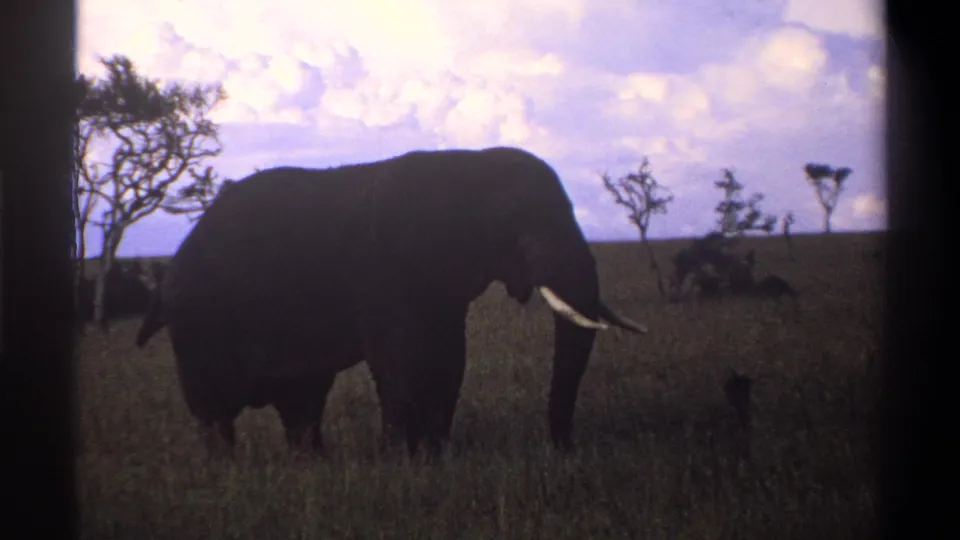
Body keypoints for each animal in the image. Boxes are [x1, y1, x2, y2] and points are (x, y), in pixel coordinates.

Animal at [156, 146, 647, 458]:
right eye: (519, 224)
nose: (564, 449)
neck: (471, 165)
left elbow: (449, 359)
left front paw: (437, 455)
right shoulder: (383, 271)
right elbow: (401, 360)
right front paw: (401, 462)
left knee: (302, 399)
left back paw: (312, 464)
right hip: (198, 316)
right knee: (214, 405)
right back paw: (225, 470)